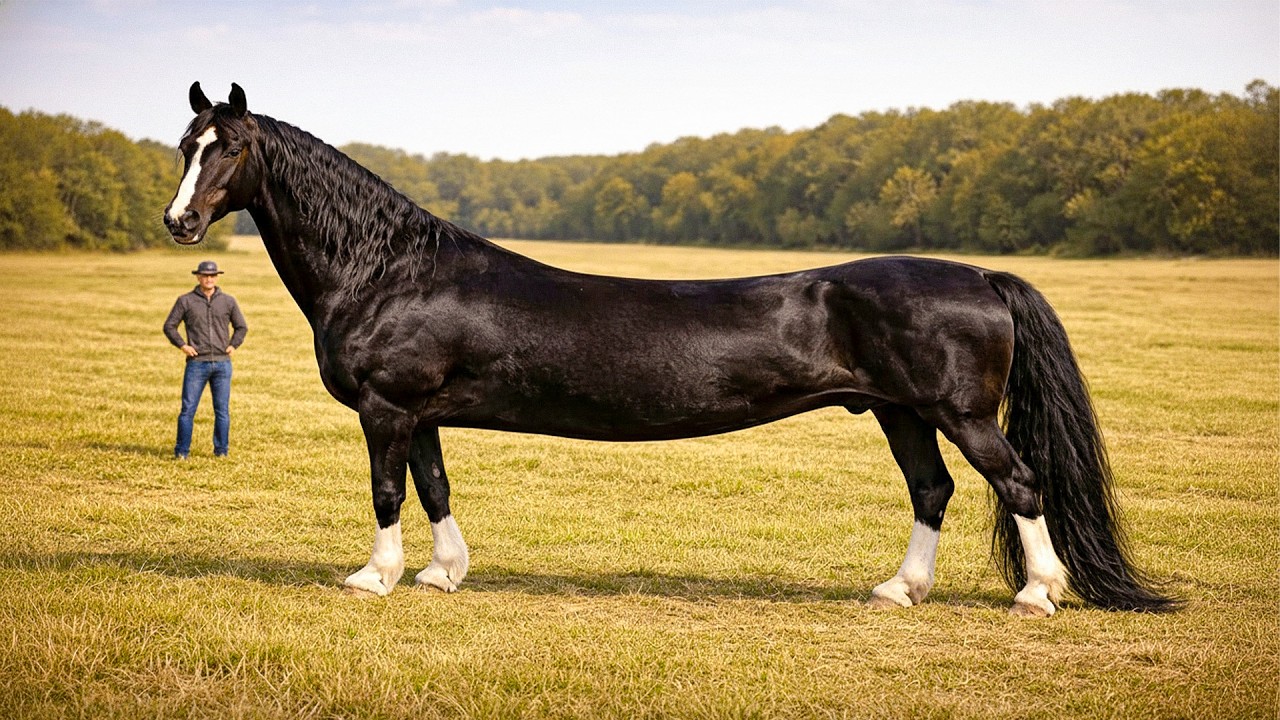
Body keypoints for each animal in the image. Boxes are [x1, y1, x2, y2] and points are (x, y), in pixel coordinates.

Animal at [163, 82, 1176, 615]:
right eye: (183, 144)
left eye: (230, 149)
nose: (178, 222)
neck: (390, 271)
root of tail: (982, 276)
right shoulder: (421, 414)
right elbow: (436, 487)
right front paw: (443, 573)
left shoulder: (387, 408)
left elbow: (385, 492)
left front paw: (373, 577)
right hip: (900, 414)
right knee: (933, 492)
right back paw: (898, 589)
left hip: (959, 414)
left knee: (1019, 485)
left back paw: (1039, 594)